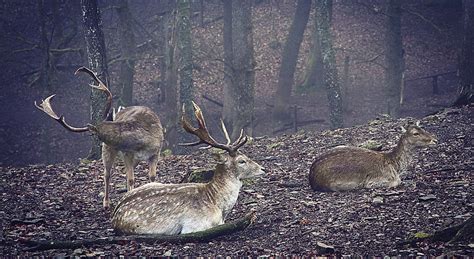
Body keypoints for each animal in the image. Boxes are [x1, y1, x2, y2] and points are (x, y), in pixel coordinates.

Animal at [34, 67, 164, 209]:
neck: (142, 142)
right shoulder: (127, 154)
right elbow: (131, 179)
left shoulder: (156, 152)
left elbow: (152, 176)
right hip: (108, 151)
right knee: (107, 174)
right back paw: (106, 202)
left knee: (123, 173)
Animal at [308, 122, 436, 193]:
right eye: (415, 133)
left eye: (423, 128)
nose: (434, 140)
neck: (395, 166)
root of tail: (311, 177)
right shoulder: (374, 181)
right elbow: (397, 182)